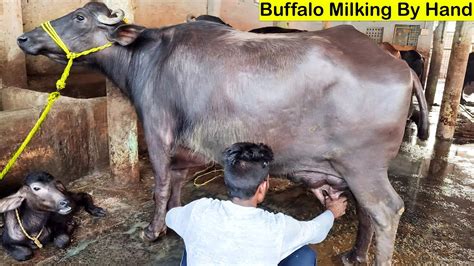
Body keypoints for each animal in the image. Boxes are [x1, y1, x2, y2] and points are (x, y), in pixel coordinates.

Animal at [17, 2, 430, 264]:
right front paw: (175, 218)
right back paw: (354, 254)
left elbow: (160, 185)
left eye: (80, 16)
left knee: (385, 210)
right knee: (366, 212)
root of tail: (399, 64)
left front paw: (153, 230)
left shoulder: (157, 131)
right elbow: (178, 183)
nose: (23, 39)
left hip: (364, 167)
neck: (148, 57)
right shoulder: (186, 148)